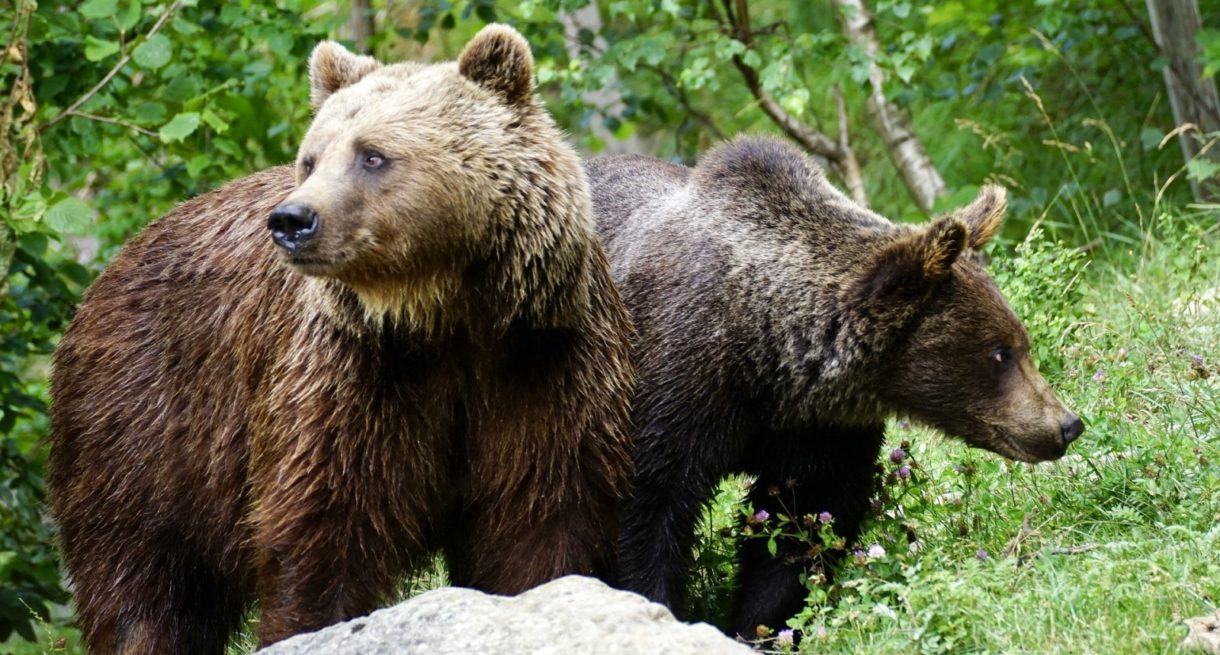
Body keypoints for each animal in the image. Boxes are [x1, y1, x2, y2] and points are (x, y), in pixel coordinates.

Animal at [51, 23, 634, 648]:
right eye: (310, 159)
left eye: (372, 155)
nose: (291, 220)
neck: (445, 316)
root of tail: (111, 270)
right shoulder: (349, 375)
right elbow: (326, 526)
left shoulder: (541, 362)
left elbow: (541, 519)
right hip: (146, 423)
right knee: (140, 581)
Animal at [585, 136, 1083, 634]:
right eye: (1001, 353)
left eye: (1020, 342)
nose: (1068, 424)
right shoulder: (675, 387)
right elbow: (647, 513)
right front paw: (655, 605)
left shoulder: (821, 429)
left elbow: (802, 527)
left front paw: (762, 626)